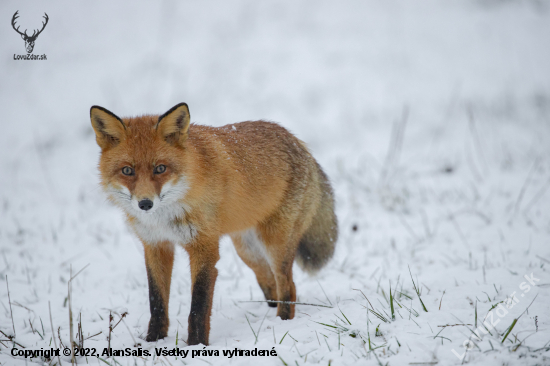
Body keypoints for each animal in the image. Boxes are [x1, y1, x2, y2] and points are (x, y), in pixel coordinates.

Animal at [91, 103, 336, 346]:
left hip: (275, 245)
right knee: (269, 282)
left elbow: (199, 306)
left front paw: (196, 345)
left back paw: (283, 322)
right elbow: (157, 301)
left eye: (160, 168)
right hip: (248, 251)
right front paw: (154, 340)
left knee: (288, 287)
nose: (145, 204)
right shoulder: (156, 246)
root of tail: (297, 141)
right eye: (127, 171)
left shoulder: (204, 247)